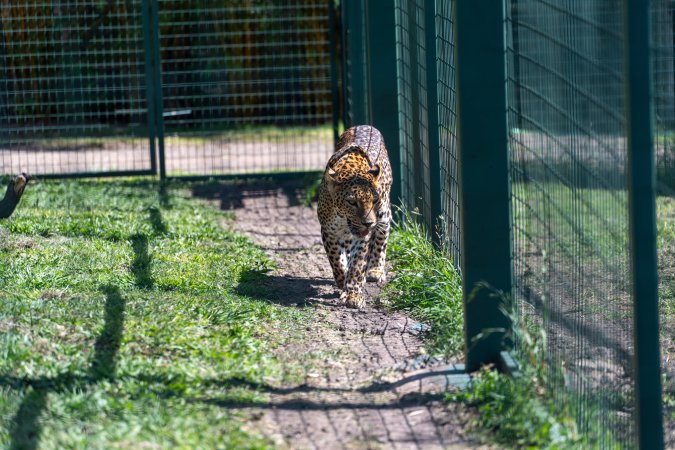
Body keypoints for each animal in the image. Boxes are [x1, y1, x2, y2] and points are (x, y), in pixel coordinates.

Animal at [317, 125, 392, 309]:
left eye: (374, 200)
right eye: (352, 202)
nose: (368, 223)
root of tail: (366, 125)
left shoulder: (363, 237)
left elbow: (357, 264)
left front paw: (353, 294)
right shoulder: (328, 231)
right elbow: (336, 259)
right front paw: (342, 279)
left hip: (384, 214)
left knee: (382, 237)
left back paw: (375, 270)